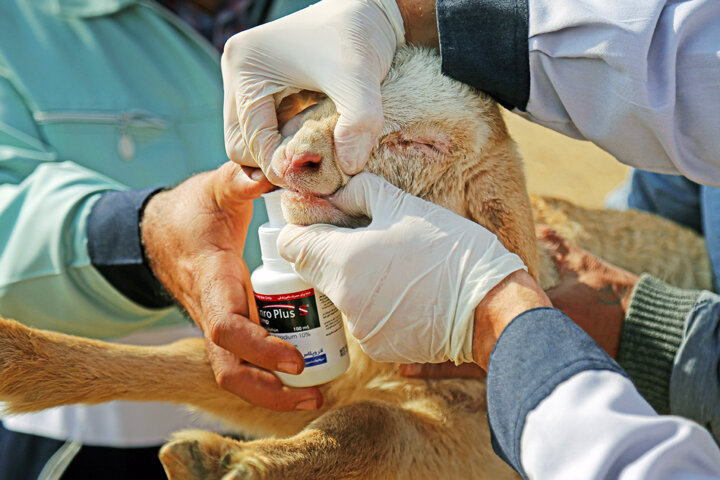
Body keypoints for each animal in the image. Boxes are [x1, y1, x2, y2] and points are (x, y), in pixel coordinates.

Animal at [0, 47, 708, 480]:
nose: (299, 158)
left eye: (422, 143)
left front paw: (226, 464)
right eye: (316, 98)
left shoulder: (477, 437)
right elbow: (182, 358)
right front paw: (17, 359)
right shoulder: (291, 374)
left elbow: (372, 426)